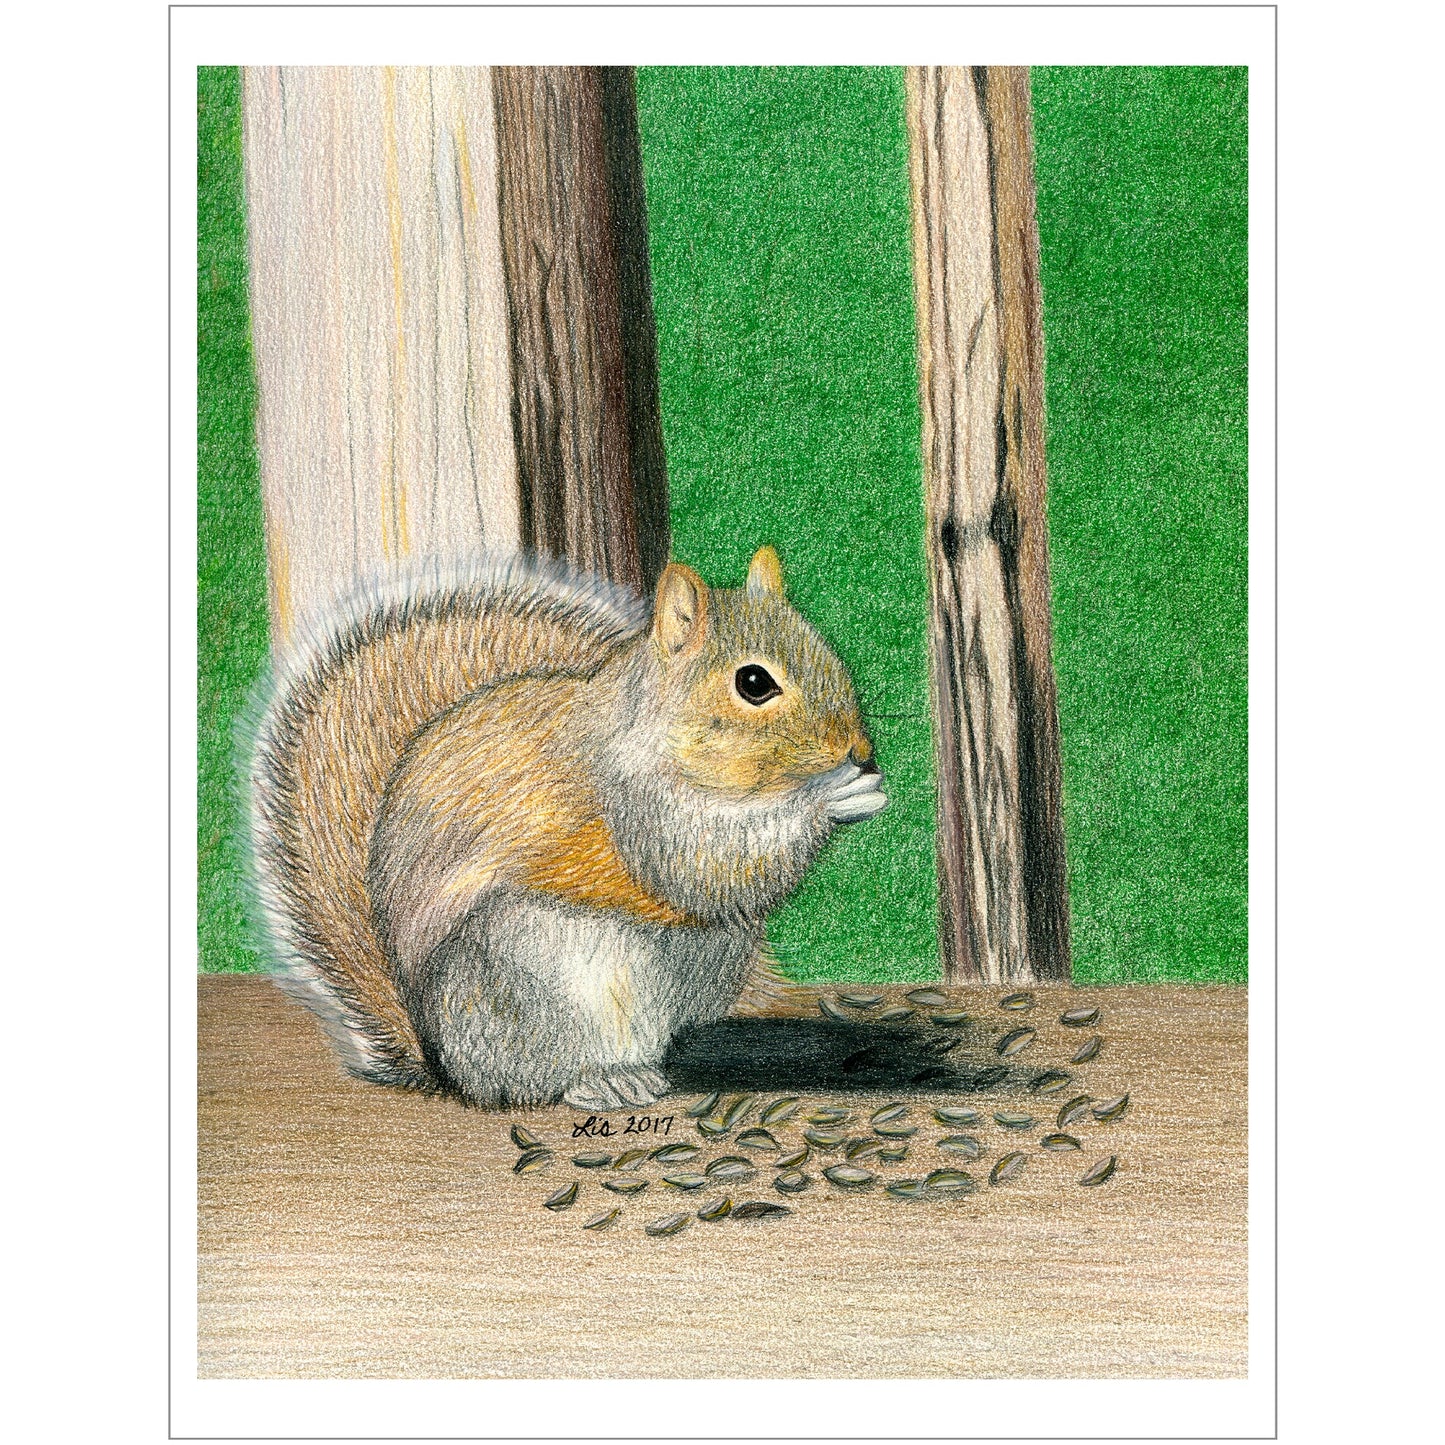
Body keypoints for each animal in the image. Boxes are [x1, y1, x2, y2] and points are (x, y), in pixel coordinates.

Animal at [247, 546, 887, 1111]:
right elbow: (695, 864)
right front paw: (830, 798)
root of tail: (440, 1062)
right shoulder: (633, 804)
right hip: (522, 981)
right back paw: (593, 1083)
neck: (646, 730)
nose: (859, 750)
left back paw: (637, 1073)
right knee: (530, 1078)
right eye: (753, 683)